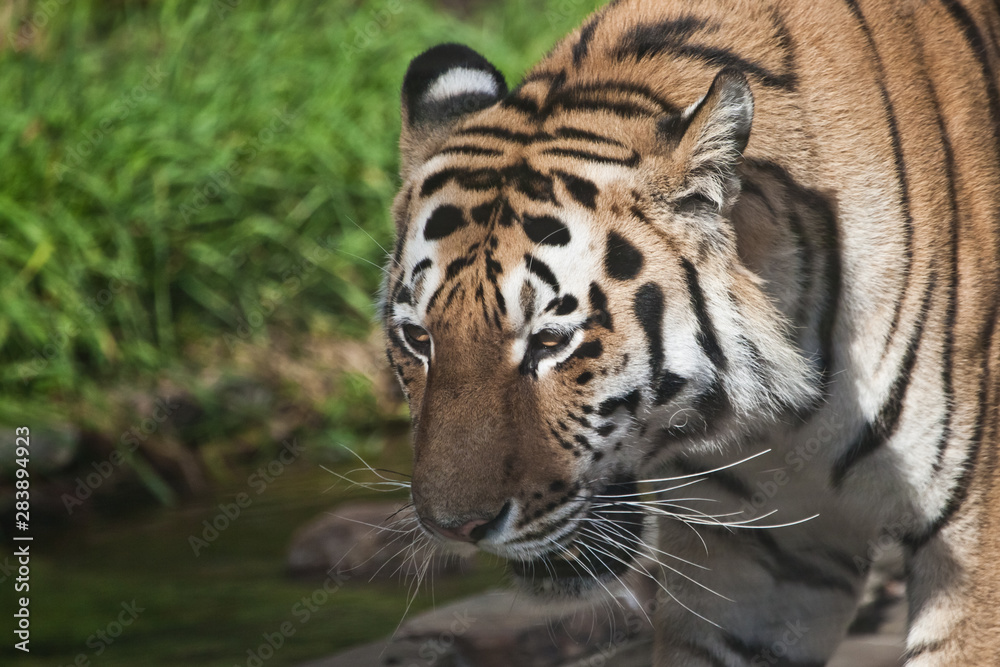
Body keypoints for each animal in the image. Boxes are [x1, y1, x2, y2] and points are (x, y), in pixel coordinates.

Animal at [381, 0, 1000, 664]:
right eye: (418, 339)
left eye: (550, 341)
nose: (456, 528)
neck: (783, 419)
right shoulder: (757, 556)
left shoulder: (970, 543)